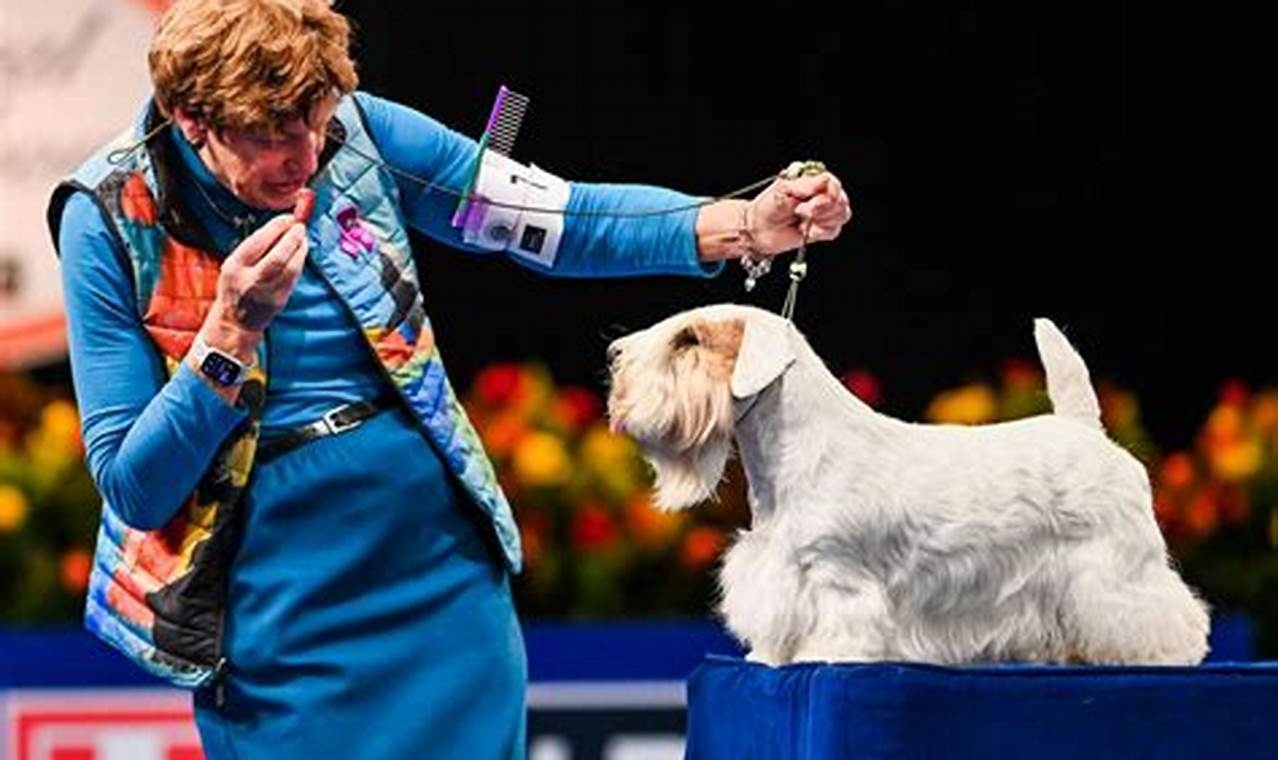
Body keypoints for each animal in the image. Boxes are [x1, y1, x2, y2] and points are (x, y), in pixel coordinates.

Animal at [605, 302, 1206, 664]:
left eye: (689, 339)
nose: (616, 364)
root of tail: (1084, 428)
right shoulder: (784, 570)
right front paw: (766, 657)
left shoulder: (837, 573)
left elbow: (841, 622)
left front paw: (824, 653)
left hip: (1117, 569)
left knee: (1161, 610)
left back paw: (1167, 653)